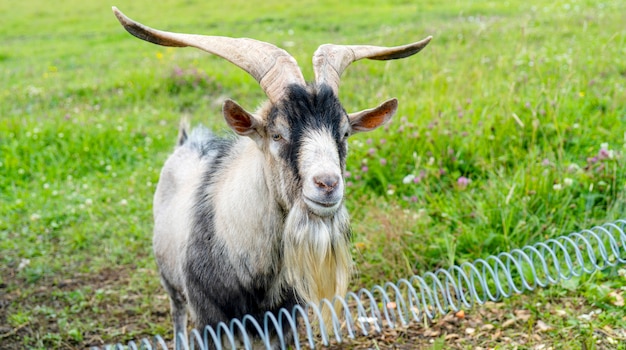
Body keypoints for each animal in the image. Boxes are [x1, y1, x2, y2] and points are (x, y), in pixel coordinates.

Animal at [111, 6, 428, 346]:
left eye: (344, 132)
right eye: (277, 134)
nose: (327, 184)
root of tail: (186, 142)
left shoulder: (284, 318)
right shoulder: (208, 318)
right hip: (172, 285)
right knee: (177, 316)